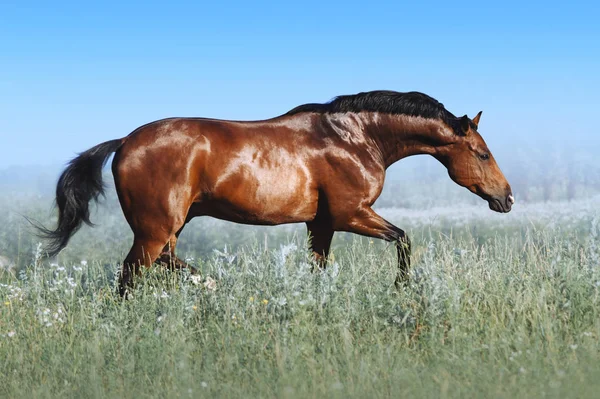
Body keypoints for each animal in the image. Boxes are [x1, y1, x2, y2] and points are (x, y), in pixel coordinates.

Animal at [37, 90, 512, 296]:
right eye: (483, 153)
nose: (506, 199)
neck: (354, 138)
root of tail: (123, 143)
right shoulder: (351, 214)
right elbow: (404, 239)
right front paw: (400, 289)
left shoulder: (321, 224)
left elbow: (319, 268)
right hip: (154, 229)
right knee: (131, 275)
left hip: (171, 225)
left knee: (166, 263)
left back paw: (213, 286)